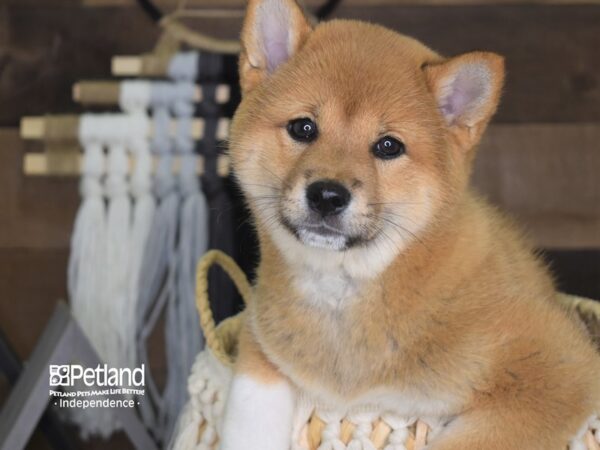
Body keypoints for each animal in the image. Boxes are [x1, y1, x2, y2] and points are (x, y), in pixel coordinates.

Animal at [223, 0, 600, 450]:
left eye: (389, 146)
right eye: (303, 127)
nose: (327, 195)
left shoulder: (559, 365)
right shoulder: (260, 336)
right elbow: (248, 417)